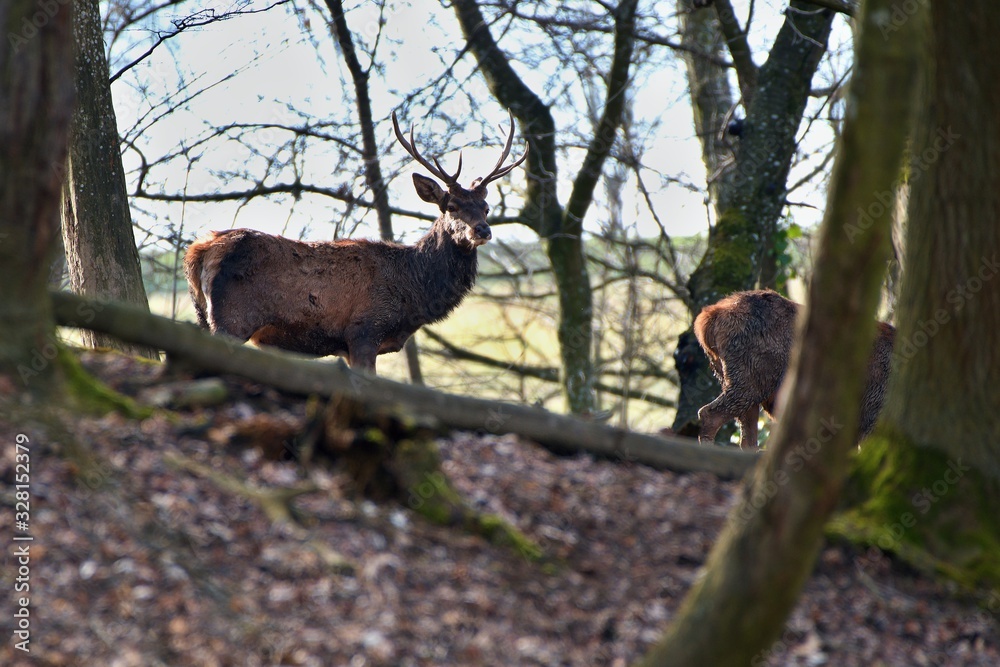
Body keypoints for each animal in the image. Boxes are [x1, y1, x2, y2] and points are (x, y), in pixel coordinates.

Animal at [184, 110, 527, 373]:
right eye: (451, 207)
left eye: (486, 207)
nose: (482, 230)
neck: (412, 291)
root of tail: (198, 250)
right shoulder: (363, 331)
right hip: (231, 319)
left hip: (204, 317)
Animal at [693, 289, 895, 449]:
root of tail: (707, 319)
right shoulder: (871, 417)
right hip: (750, 381)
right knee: (709, 414)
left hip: (737, 380)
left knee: (746, 436)